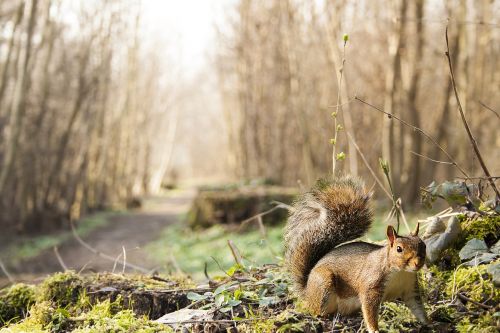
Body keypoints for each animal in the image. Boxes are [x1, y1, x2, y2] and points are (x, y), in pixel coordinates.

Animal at [284, 175, 428, 330]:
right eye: (399, 249)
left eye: (424, 245)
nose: (418, 263)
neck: (400, 272)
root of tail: (307, 291)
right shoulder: (371, 287)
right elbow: (370, 312)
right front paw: (374, 330)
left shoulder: (410, 289)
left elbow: (418, 308)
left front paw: (429, 323)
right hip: (323, 284)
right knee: (316, 310)